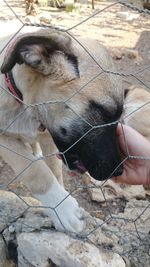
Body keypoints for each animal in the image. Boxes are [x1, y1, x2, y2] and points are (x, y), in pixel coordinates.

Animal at [0, 28, 123, 232]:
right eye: (104, 112)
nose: (119, 171)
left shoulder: (48, 136)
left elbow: (55, 170)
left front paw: (58, 204)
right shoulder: (4, 139)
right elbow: (35, 171)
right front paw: (63, 208)